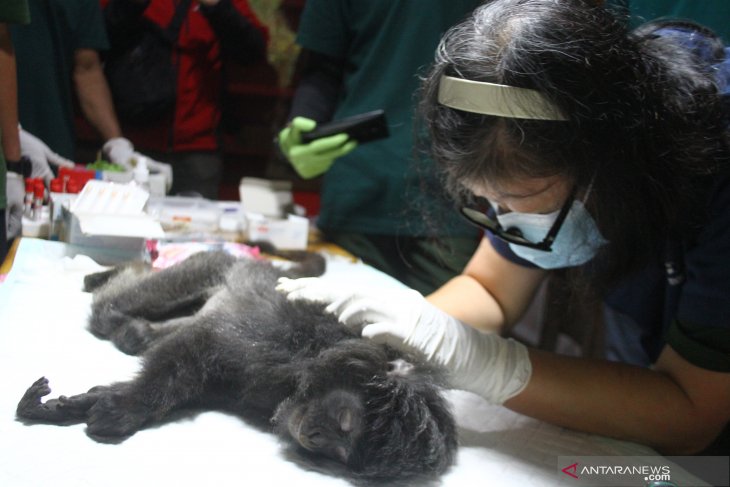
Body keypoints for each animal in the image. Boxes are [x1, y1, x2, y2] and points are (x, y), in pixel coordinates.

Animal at [15, 254, 456, 486]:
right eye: (343, 420)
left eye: (342, 452)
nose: (315, 438)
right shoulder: (280, 341)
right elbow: (197, 347)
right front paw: (129, 404)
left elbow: (191, 373)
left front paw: (86, 402)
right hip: (215, 264)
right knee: (117, 309)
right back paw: (109, 273)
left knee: (137, 330)